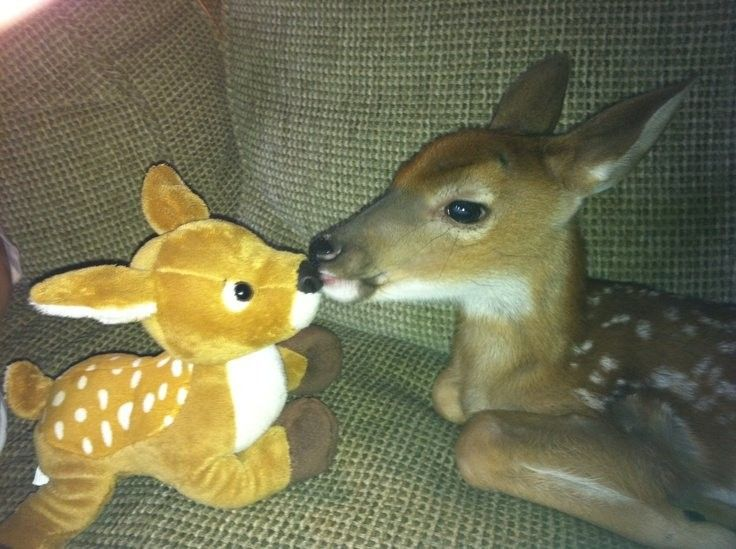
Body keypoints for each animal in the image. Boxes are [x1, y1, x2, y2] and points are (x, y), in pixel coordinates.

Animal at [307, 55, 736, 547]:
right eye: (397, 178)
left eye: (464, 208)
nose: (322, 248)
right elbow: (448, 396)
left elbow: (481, 435)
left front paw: (698, 524)